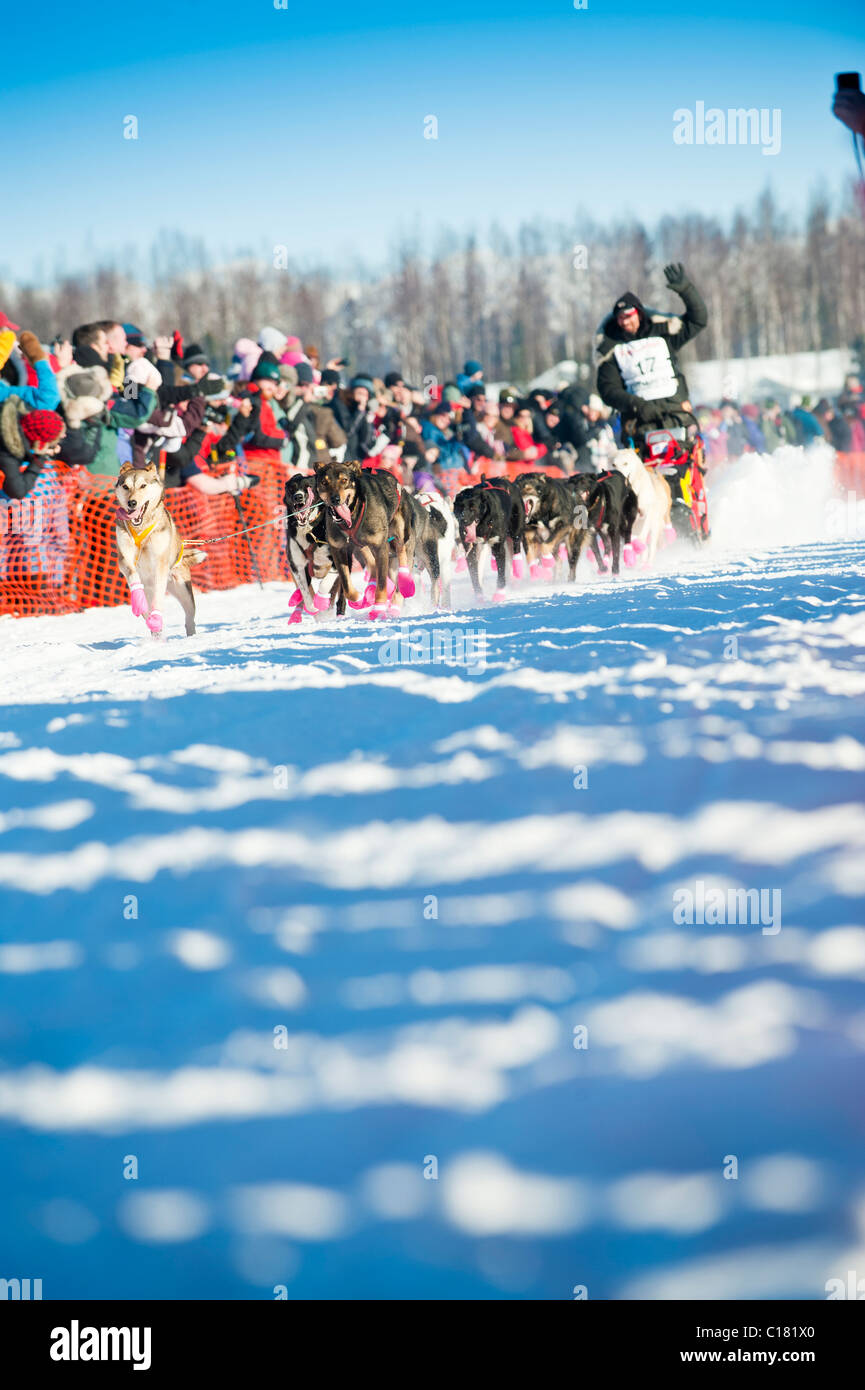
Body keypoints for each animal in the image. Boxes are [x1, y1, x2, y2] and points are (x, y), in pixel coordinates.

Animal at [114, 461, 207, 636]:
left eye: (143, 485)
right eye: (125, 486)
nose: (132, 503)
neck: (141, 527)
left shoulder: (160, 563)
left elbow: (159, 596)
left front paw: (157, 616)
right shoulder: (124, 559)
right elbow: (132, 572)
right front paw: (138, 598)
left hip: (183, 590)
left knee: (189, 618)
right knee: (148, 614)